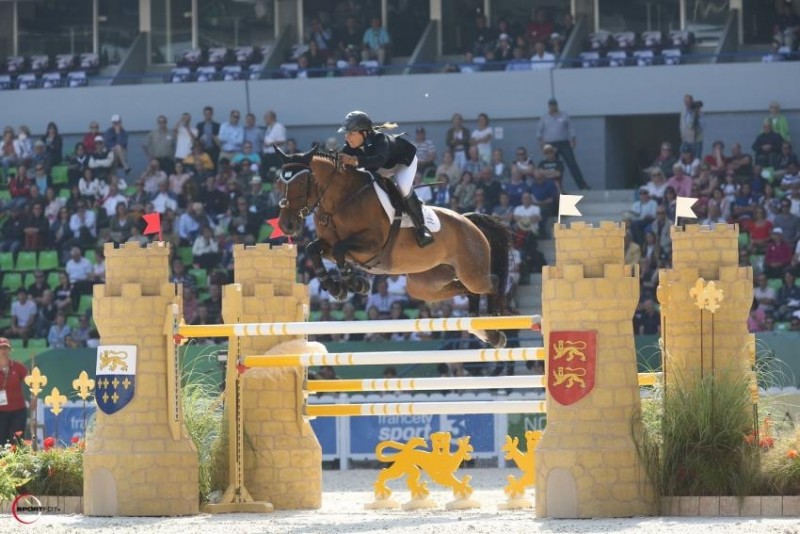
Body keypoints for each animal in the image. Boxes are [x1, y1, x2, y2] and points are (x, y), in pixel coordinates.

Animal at [275, 145, 512, 348]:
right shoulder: (329, 247)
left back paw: (494, 331)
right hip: (424, 284)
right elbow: (313, 249)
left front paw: (355, 283)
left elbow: (342, 248)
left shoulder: (372, 244)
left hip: (472, 271)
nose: (286, 225)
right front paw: (337, 287)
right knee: (465, 289)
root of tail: (469, 221)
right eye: (279, 183)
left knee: (491, 283)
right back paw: (482, 329)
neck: (342, 201)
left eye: (301, 182)